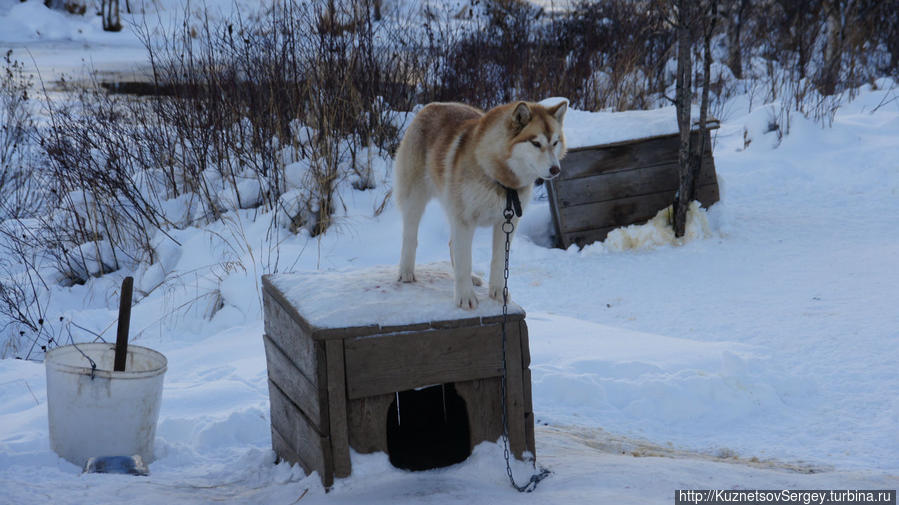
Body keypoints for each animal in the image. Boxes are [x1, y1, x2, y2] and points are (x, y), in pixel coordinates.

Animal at [396, 99, 568, 308]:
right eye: (536, 143)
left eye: (555, 142)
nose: (555, 169)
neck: (501, 180)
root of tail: (433, 105)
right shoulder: (464, 220)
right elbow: (464, 260)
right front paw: (465, 297)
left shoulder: (507, 223)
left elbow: (499, 261)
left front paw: (499, 293)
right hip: (415, 200)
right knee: (410, 237)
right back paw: (406, 272)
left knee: (452, 244)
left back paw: (471, 278)